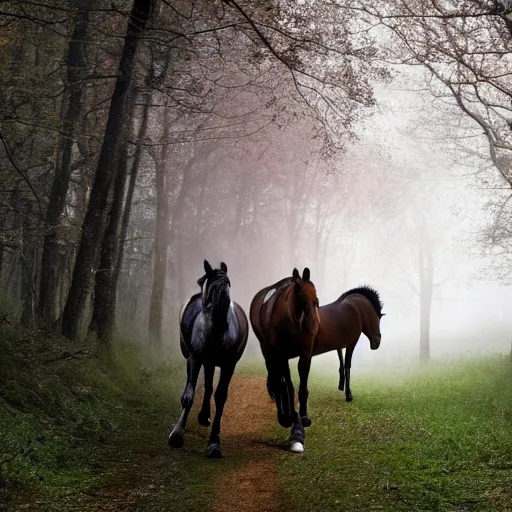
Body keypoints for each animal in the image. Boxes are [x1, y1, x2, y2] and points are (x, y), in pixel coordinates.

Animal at [168, 262, 248, 458]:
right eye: (208, 285)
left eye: (228, 285)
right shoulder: (195, 359)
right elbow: (189, 396)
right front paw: (176, 435)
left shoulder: (228, 365)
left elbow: (220, 397)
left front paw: (214, 444)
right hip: (201, 360)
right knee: (204, 386)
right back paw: (202, 416)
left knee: (210, 387)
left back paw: (204, 416)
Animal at [249, 268, 320, 452]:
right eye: (300, 298)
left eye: (316, 300)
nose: (313, 326)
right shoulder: (281, 355)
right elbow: (286, 385)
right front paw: (288, 417)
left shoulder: (305, 354)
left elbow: (302, 386)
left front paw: (303, 416)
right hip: (268, 352)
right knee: (277, 382)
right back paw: (284, 415)